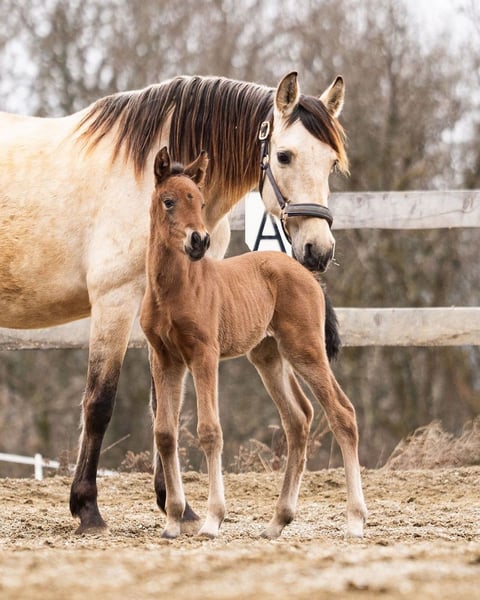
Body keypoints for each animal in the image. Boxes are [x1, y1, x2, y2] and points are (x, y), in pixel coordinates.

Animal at [140, 147, 367, 539]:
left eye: (200, 201)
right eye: (169, 201)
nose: (199, 241)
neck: (173, 290)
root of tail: (306, 273)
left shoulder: (204, 354)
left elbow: (209, 431)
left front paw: (213, 520)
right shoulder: (165, 358)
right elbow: (166, 433)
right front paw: (172, 521)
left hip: (305, 349)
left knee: (342, 413)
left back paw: (354, 520)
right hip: (269, 357)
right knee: (298, 419)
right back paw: (277, 521)